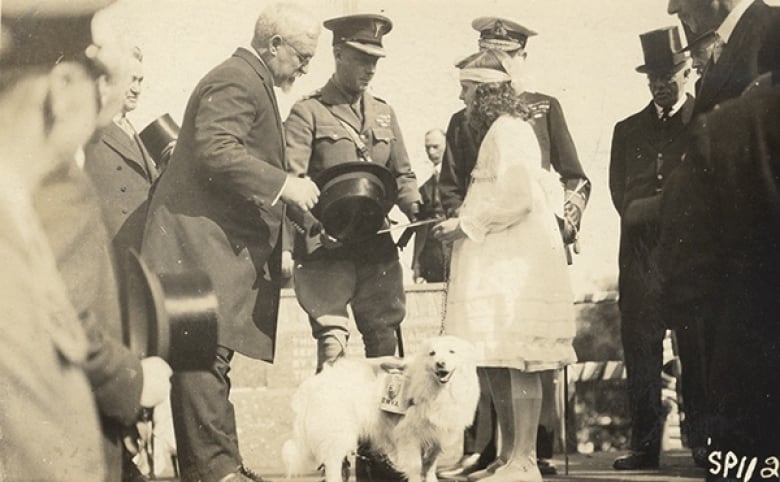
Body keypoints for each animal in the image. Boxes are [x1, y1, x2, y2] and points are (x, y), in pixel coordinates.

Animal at [284, 336, 478, 482]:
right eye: (432, 353)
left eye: (452, 352)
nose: (440, 363)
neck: (438, 390)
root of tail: (314, 382)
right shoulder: (409, 436)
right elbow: (416, 468)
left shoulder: (438, 436)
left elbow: (429, 467)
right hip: (337, 432)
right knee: (332, 465)